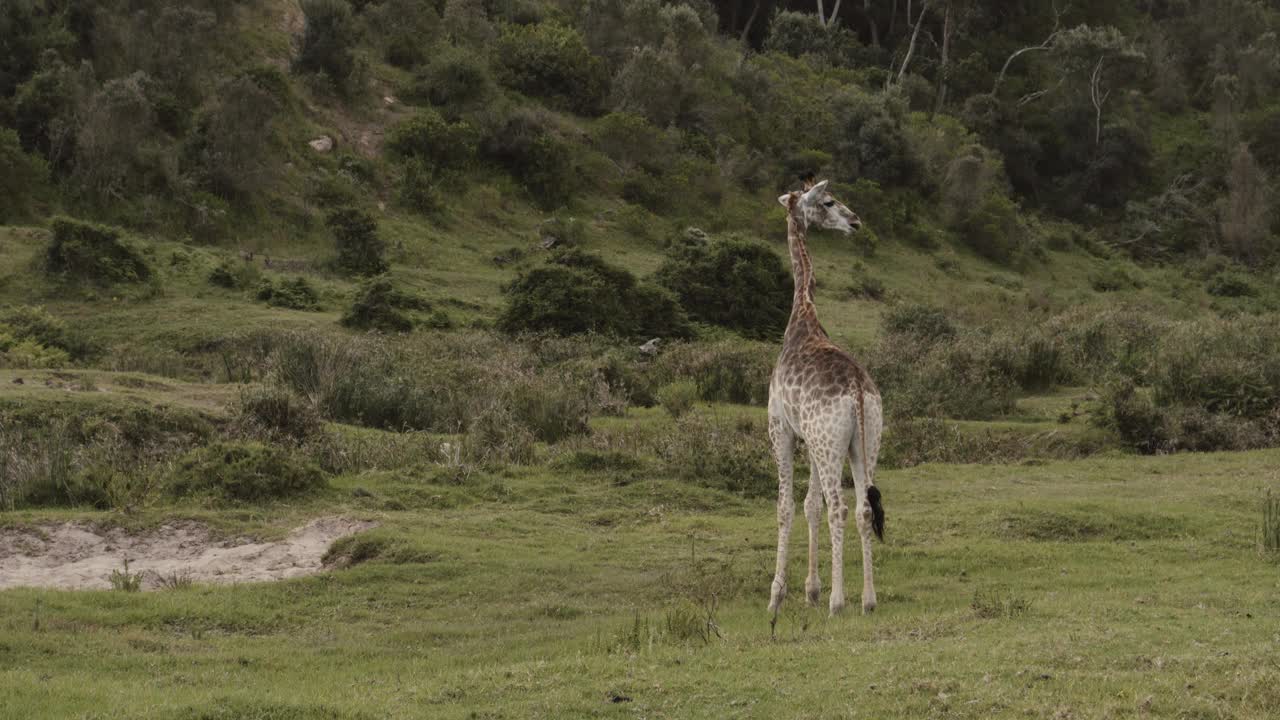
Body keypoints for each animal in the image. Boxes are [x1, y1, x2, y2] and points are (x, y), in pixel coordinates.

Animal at [768, 174, 880, 622]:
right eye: (829, 202)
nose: (856, 221)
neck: (803, 316)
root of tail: (857, 390)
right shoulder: (810, 439)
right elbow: (809, 504)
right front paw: (811, 590)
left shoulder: (781, 430)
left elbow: (786, 507)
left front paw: (778, 594)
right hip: (864, 442)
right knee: (864, 507)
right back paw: (867, 599)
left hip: (831, 443)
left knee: (840, 507)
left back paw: (839, 601)